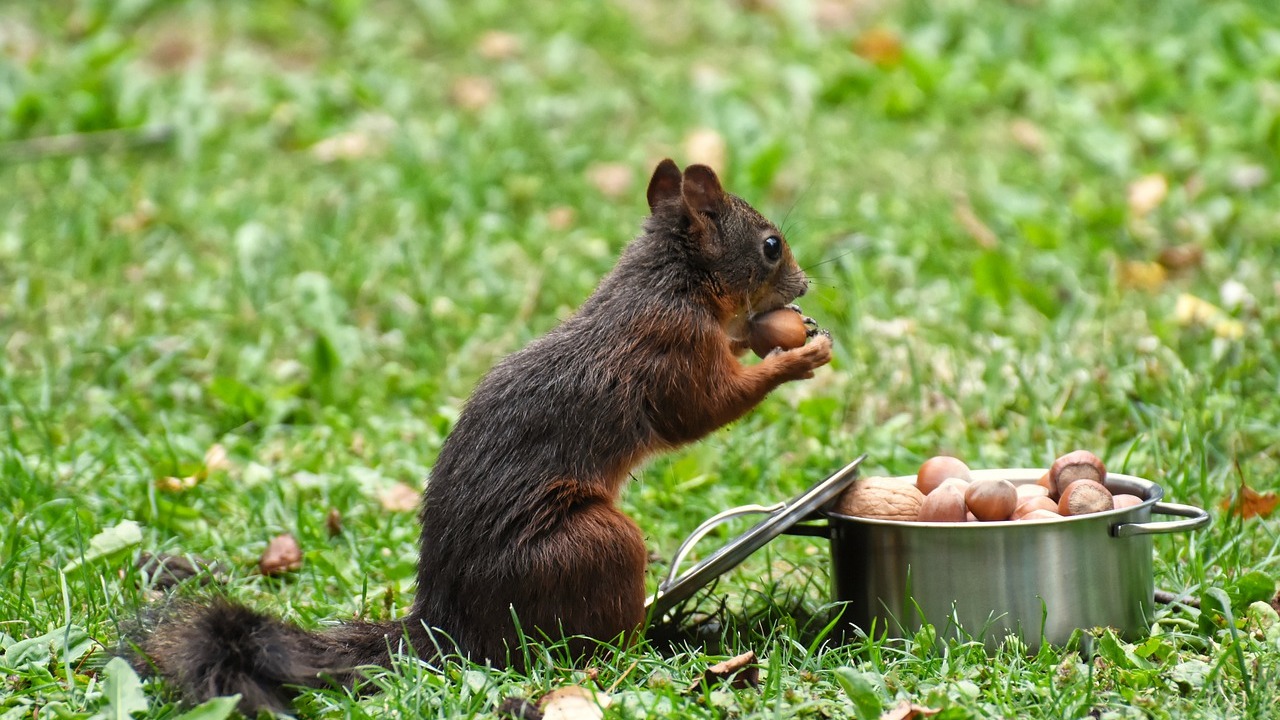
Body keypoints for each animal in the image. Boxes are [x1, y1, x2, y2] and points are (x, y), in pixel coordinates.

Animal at [140, 158, 834, 712]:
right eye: (771, 245)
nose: (804, 285)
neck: (670, 281)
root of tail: (443, 625)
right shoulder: (670, 350)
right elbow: (702, 411)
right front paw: (794, 359)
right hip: (594, 541)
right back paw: (645, 652)